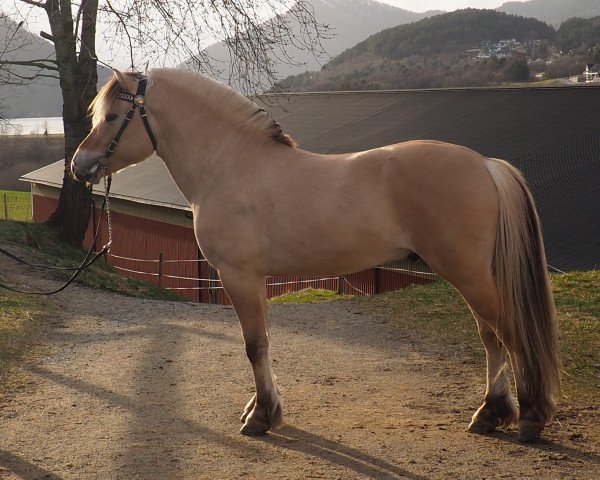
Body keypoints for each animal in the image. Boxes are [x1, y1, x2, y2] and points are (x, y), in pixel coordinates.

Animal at [71, 68, 564, 442]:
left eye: (113, 115)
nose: (80, 165)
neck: (231, 165)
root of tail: (485, 164)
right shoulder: (255, 278)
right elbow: (262, 343)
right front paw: (264, 408)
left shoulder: (238, 276)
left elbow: (254, 345)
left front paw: (261, 417)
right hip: (470, 274)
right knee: (492, 337)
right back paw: (491, 414)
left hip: (468, 273)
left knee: (508, 332)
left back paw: (529, 417)